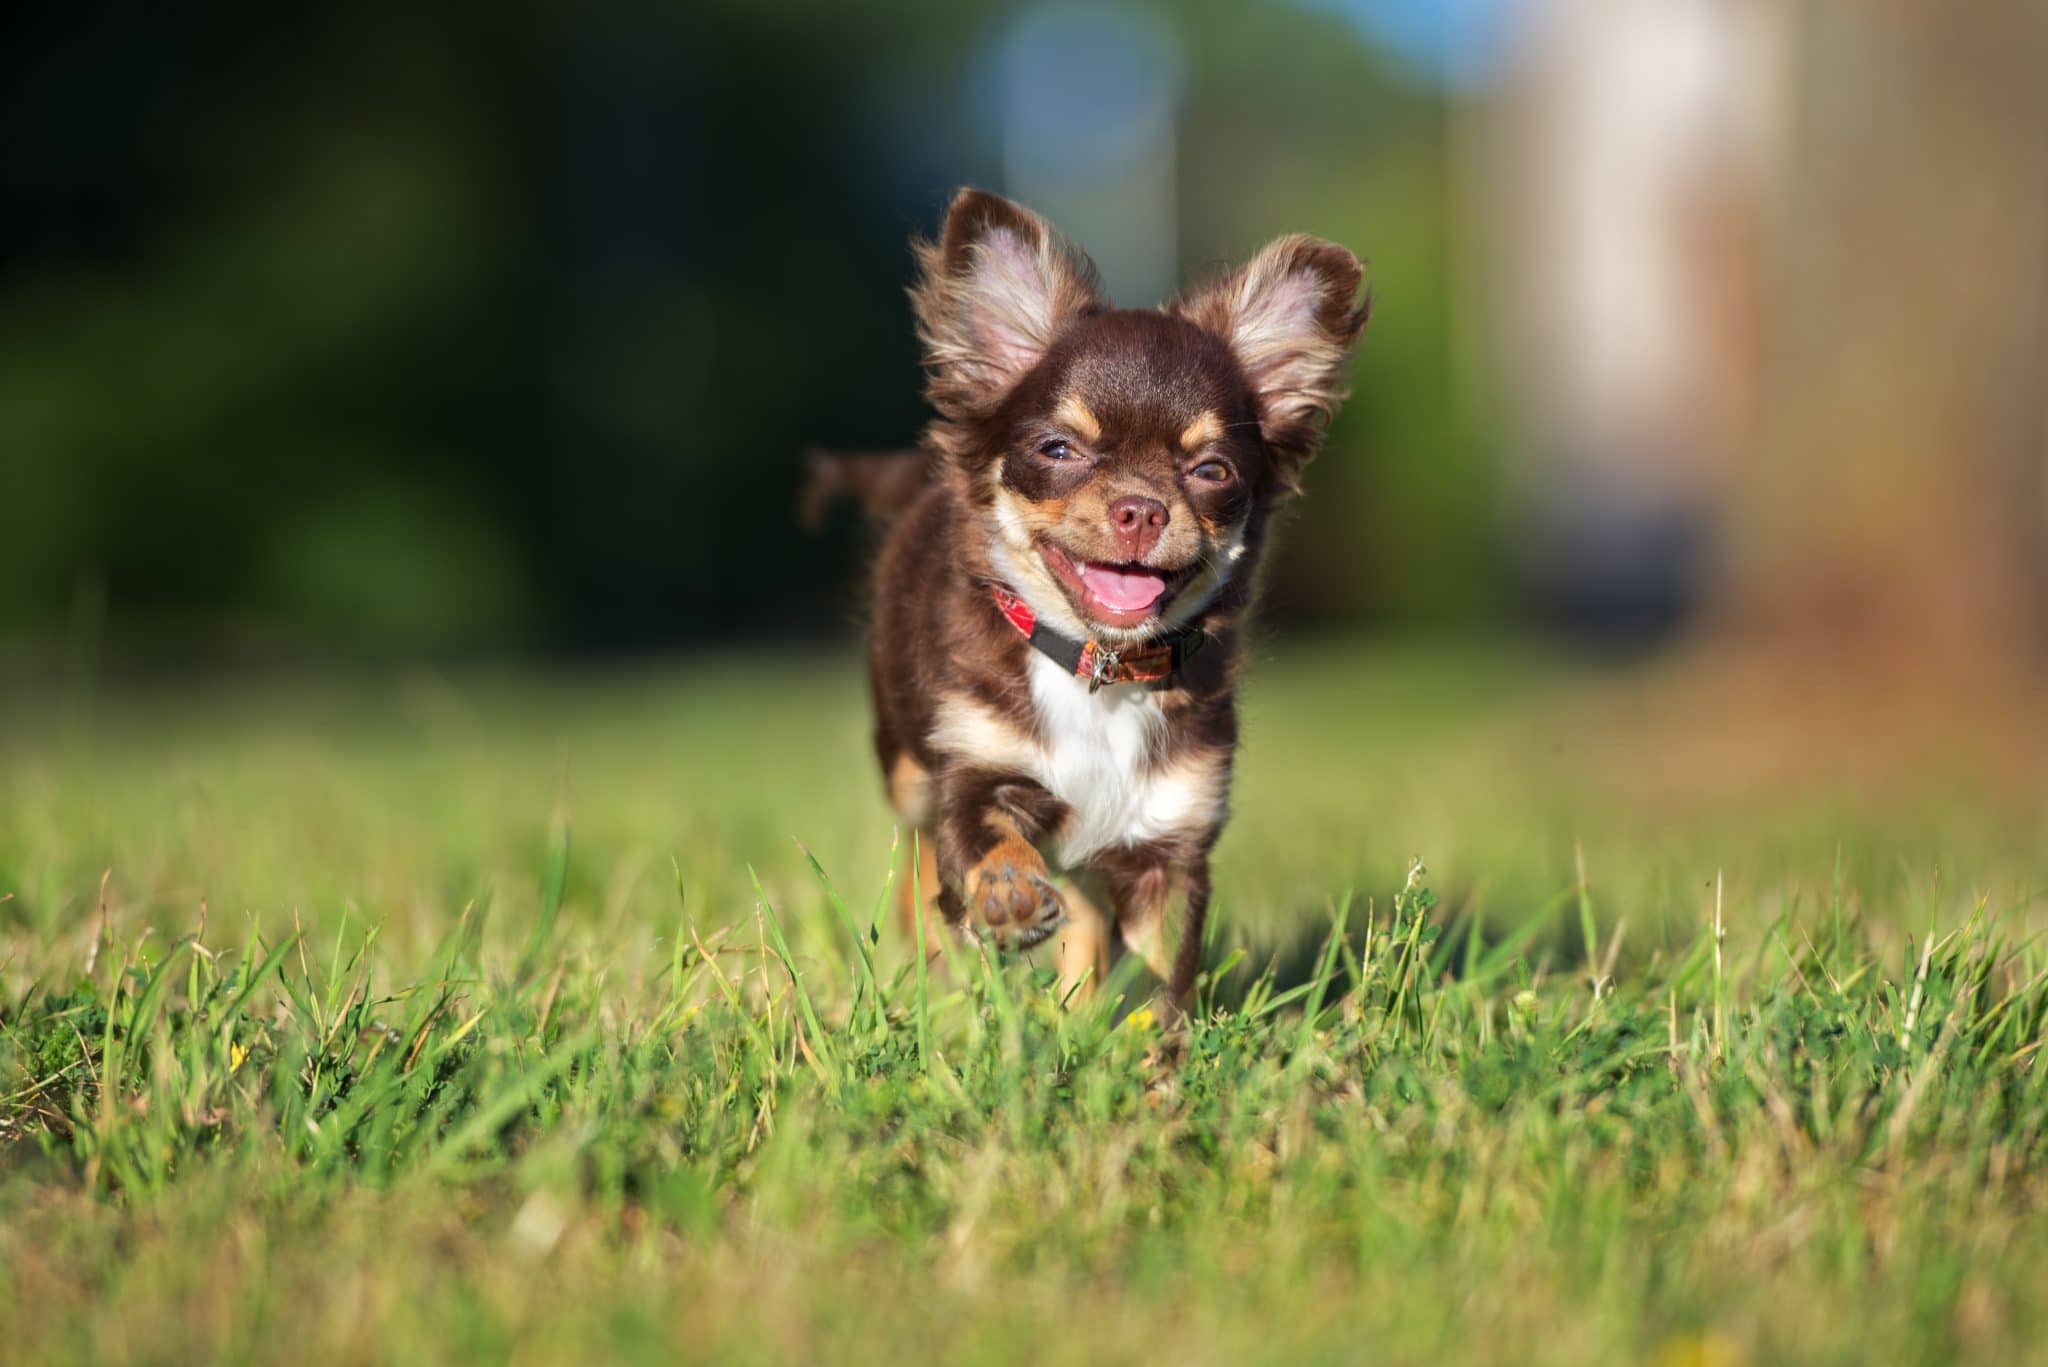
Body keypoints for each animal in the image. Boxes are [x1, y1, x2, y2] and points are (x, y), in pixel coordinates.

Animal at [823, 187, 1368, 1012]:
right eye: (1058, 450)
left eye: (1211, 470)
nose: (1141, 508)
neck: (1099, 671)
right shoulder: (977, 769)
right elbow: (983, 839)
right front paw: (1006, 894)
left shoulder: (1171, 837)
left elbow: (1161, 975)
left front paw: (1148, 1048)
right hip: (906, 762)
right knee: (917, 855)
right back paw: (932, 963)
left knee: (1080, 907)